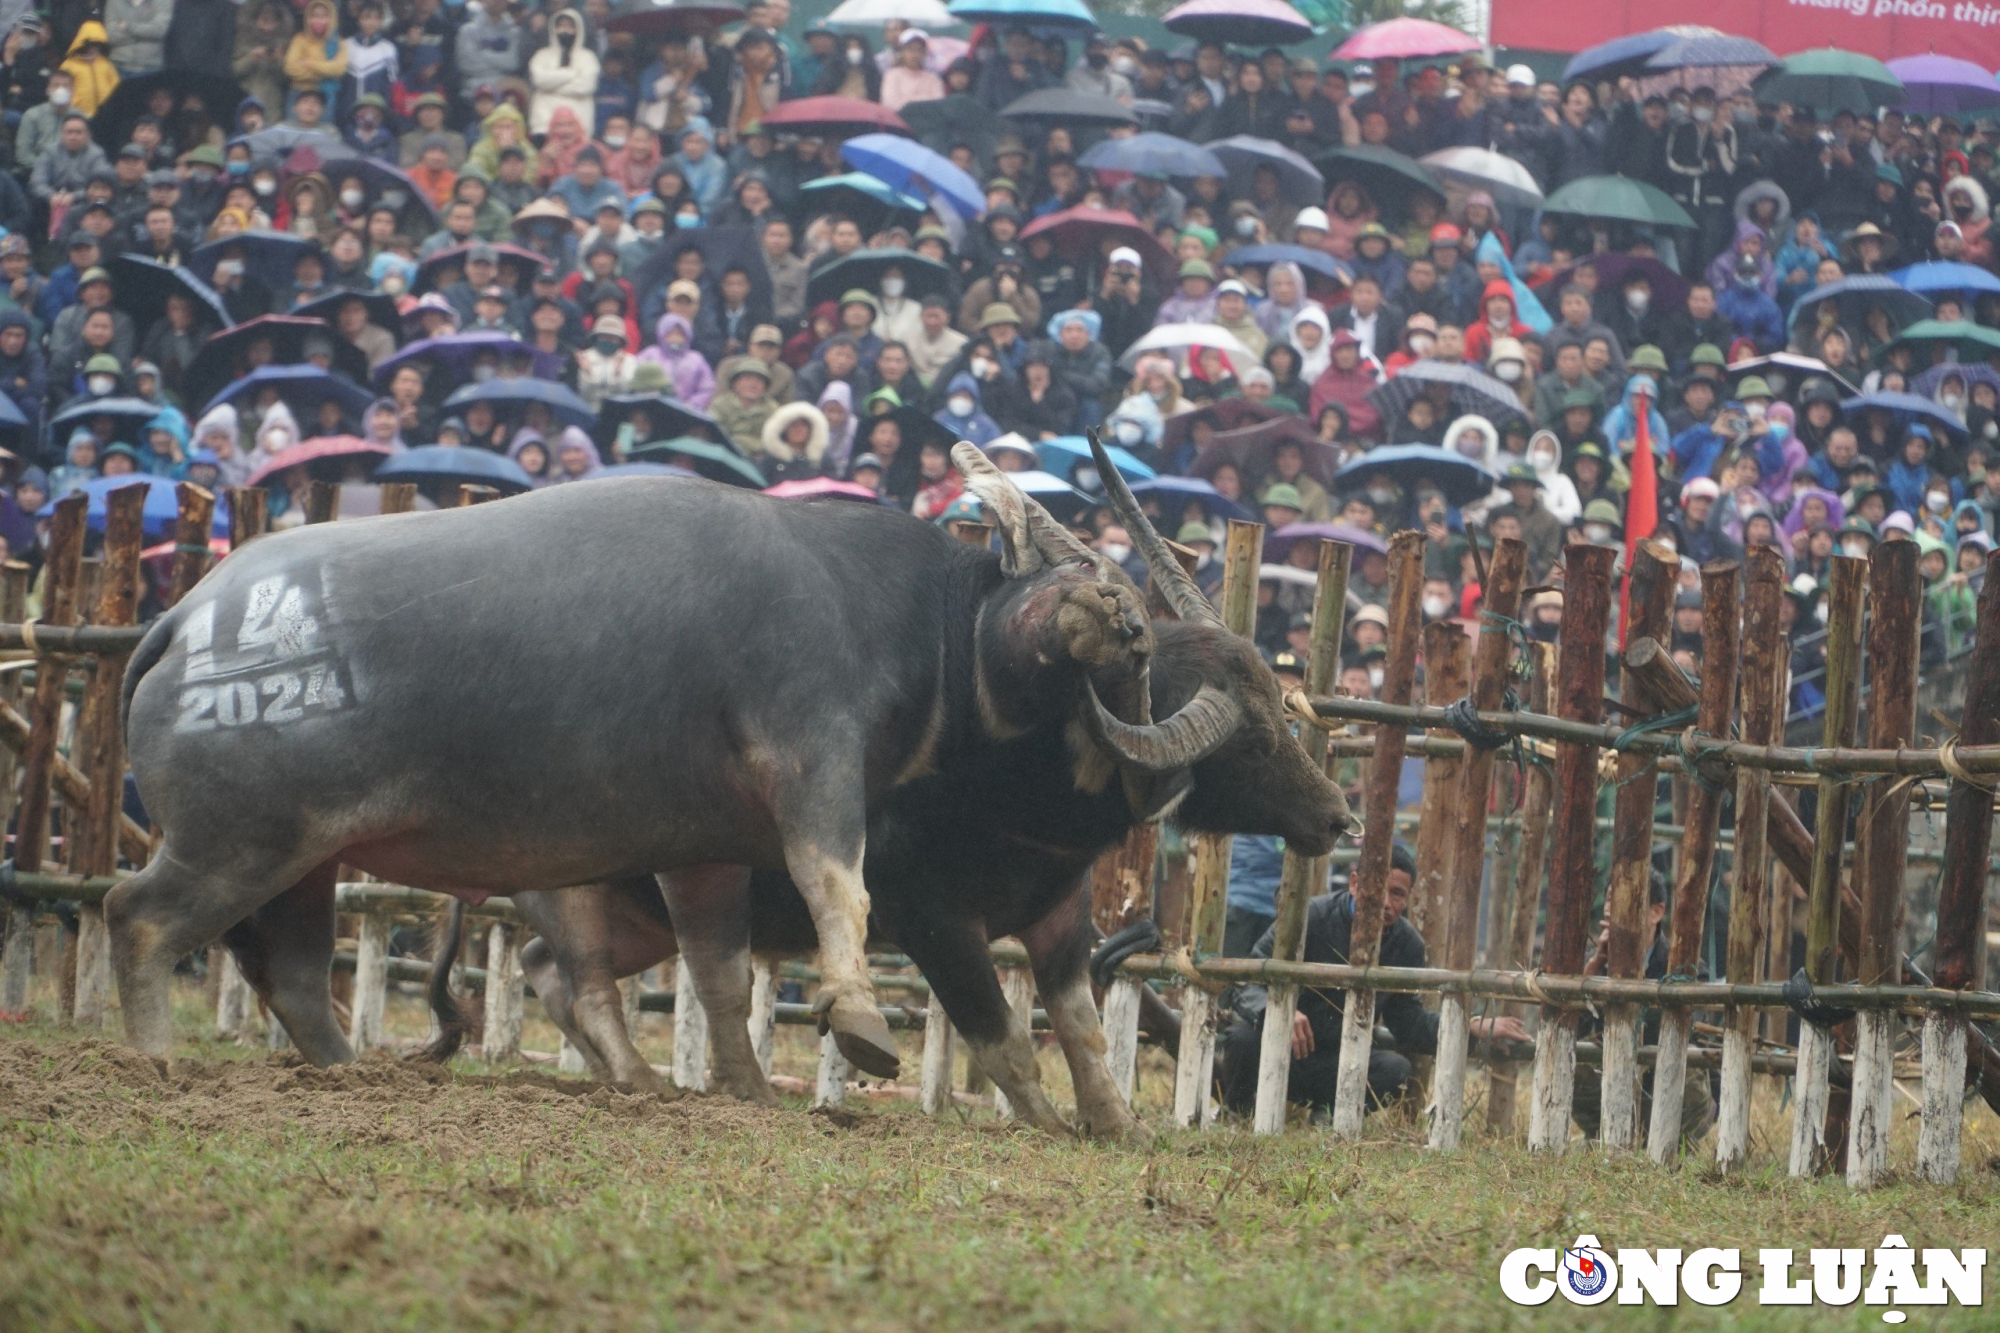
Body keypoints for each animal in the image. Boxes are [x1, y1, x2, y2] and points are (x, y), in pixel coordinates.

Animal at [113, 440, 1168, 1072]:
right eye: (1090, 570)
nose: (1128, 626)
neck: (907, 614)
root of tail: (182, 618)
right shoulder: (813, 753)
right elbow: (840, 886)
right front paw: (861, 1020)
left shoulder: (706, 843)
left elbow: (719, 968)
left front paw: (742, 1084)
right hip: (239, 843)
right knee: (140, 916)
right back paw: (152, 1055)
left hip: (304, 859)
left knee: (291, 971)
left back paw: (345, 1073)